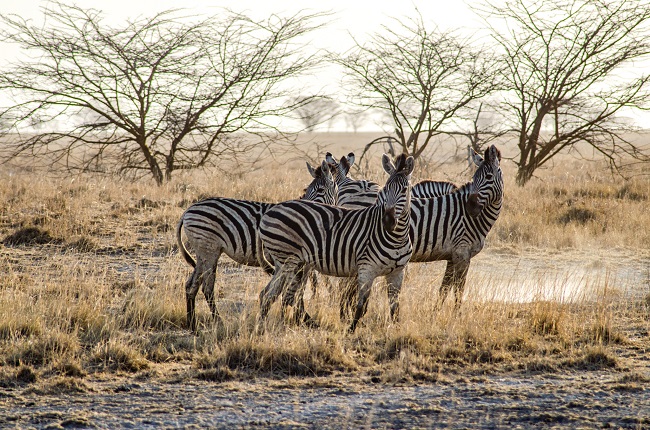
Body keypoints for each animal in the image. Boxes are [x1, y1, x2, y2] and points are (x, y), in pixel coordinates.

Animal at [176, 160, 337, 332]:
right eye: (307, 190)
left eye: (319, 190)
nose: (303, 204)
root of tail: (188, 210)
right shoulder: (299, 262)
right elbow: (296, 291)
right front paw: (302, 319)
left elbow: (293, 290)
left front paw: (296, 319)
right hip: (209, 249)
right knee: (207, 286)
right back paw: (218, 321)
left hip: (202, 252)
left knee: (191, 285)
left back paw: (192, 324)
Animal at [257, 153, 415, 333]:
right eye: (385, 189)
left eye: (404, 190)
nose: (388, 221)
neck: (397, 237)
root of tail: (270, 211)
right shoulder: (366, 269)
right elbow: (362, 304)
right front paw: (350, 330)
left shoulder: (397, 272)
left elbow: (394, 307)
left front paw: (395, 330)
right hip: (291, 261)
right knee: (288, 296)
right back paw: (310, 324)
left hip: (282, 263)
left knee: (267, 294)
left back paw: (261, 329)